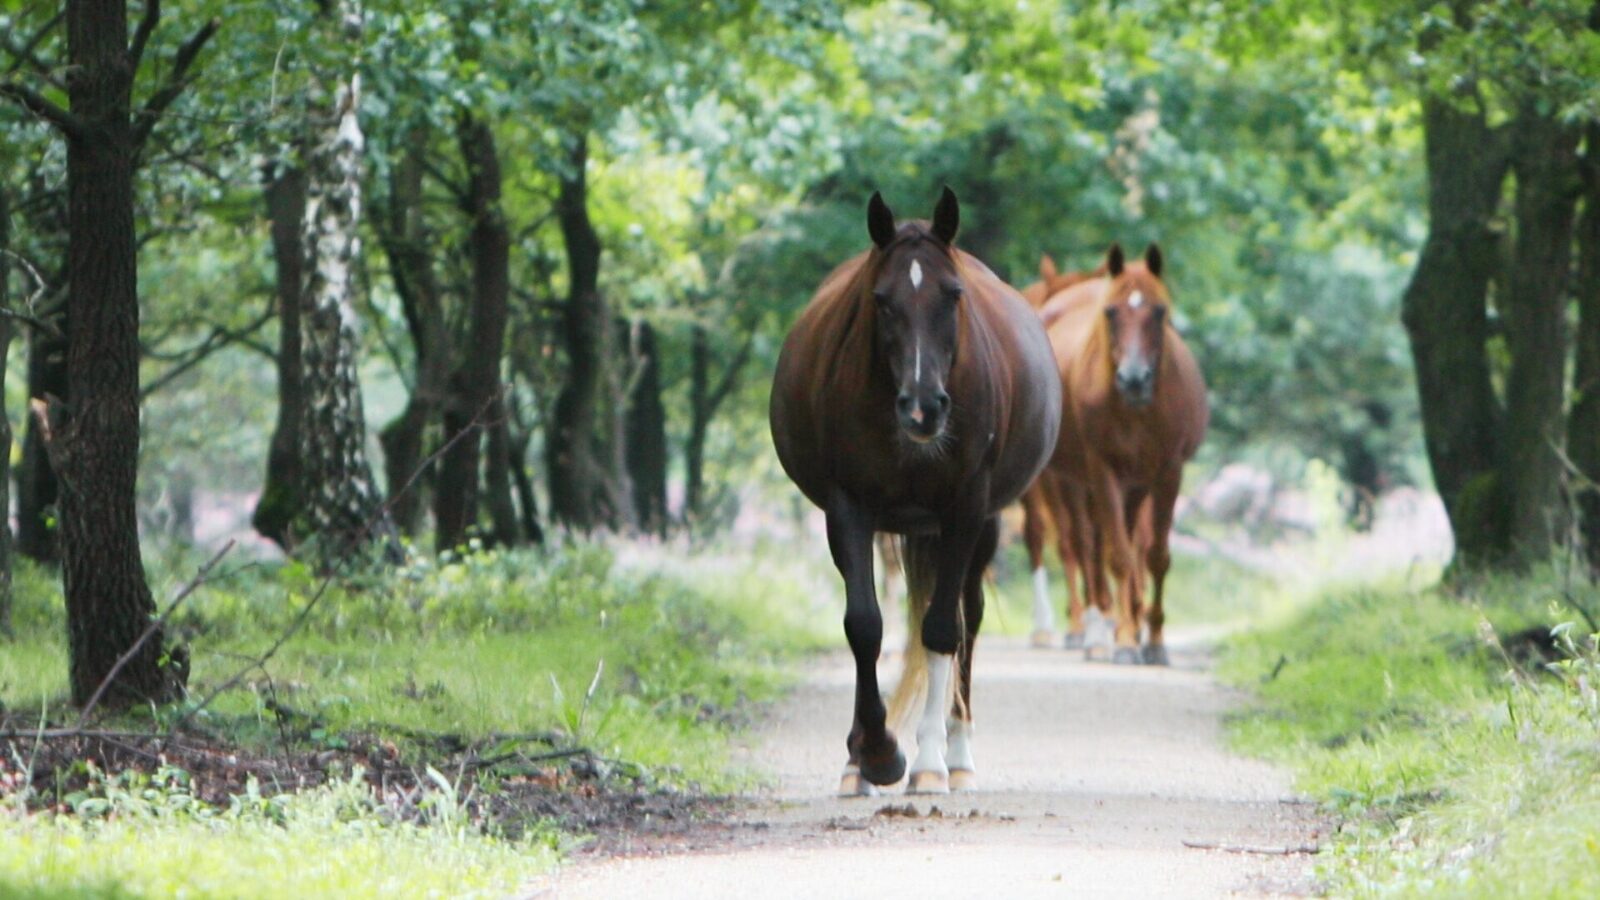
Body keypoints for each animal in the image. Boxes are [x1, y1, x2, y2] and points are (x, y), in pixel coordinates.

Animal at [770, 188, 1062, 794]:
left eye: (953, 295)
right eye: (881, 300)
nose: (923, 407)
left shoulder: (965, 509)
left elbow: (943, 628)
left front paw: (927, 761)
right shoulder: (848, 508)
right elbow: (863, 624)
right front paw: (876, 754)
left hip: (982, 525)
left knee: (967, 617)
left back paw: (958, 753)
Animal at [1052, 243, 1208, 665]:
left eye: (1159, 311)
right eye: (1110, 312)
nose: (1134, 379)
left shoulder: (1169, 471)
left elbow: (1155, 556)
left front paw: (1153, 640)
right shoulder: (1102, 469)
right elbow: (1118, 556)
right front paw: (1123, 640)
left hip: (1136, 484)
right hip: (1072, 479)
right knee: (1087, 544)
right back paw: (1097, 633)